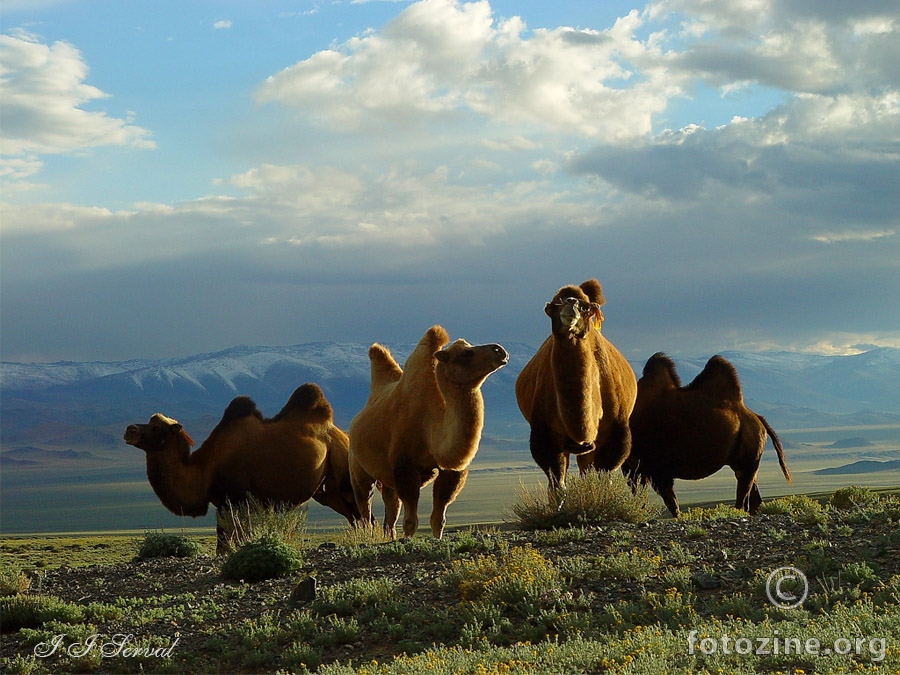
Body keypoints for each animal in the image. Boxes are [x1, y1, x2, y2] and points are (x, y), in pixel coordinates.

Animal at [124, 382, 362, 552]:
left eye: (157, 428)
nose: (130, 430)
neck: (204, 470)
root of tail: (342, 434)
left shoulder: (236, 500)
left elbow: (229, 541)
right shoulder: (222, 503)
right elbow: (225, 541)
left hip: (343, 469)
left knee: (359, 510)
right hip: (325, 489)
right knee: (352, 515)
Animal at [348, 324, 510, 540]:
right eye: (466, 353)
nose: (499, 350)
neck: (430, 427)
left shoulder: (450, 471)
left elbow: (438, 518)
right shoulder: (405, 465)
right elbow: (410, 520)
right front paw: (407, 541)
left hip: (387, 477)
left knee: (390, 511)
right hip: (358, 468)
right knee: (365, 507)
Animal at [512, 278, 640, 492]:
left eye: (585, 307)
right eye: (554, 305)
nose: (570, 302)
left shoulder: (617, 434)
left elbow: (603, 479)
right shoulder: (544, 436)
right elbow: (557, 485)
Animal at [624, 354, 792, 516]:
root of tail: (758, 419)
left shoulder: (657, 467)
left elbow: (670, 501)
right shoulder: (637, 466)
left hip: (748, 455)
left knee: (743, 492)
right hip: (744, 460)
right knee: (753, 493)